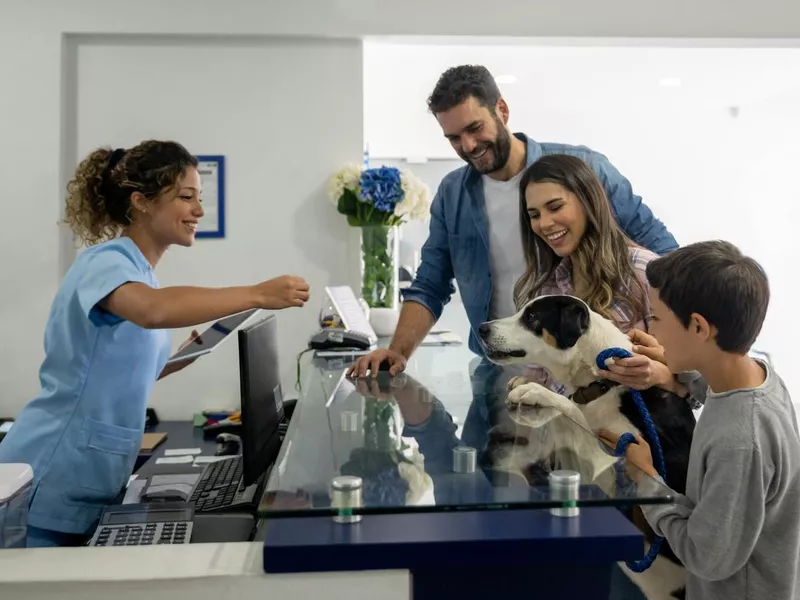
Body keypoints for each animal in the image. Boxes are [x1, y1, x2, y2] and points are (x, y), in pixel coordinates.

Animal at [478, 294, 696, 600]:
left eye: (532, 317)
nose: (482, 329)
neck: (604, 380)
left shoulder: (615, 456)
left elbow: (571, 407)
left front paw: (535, 391)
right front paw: (527, 381)